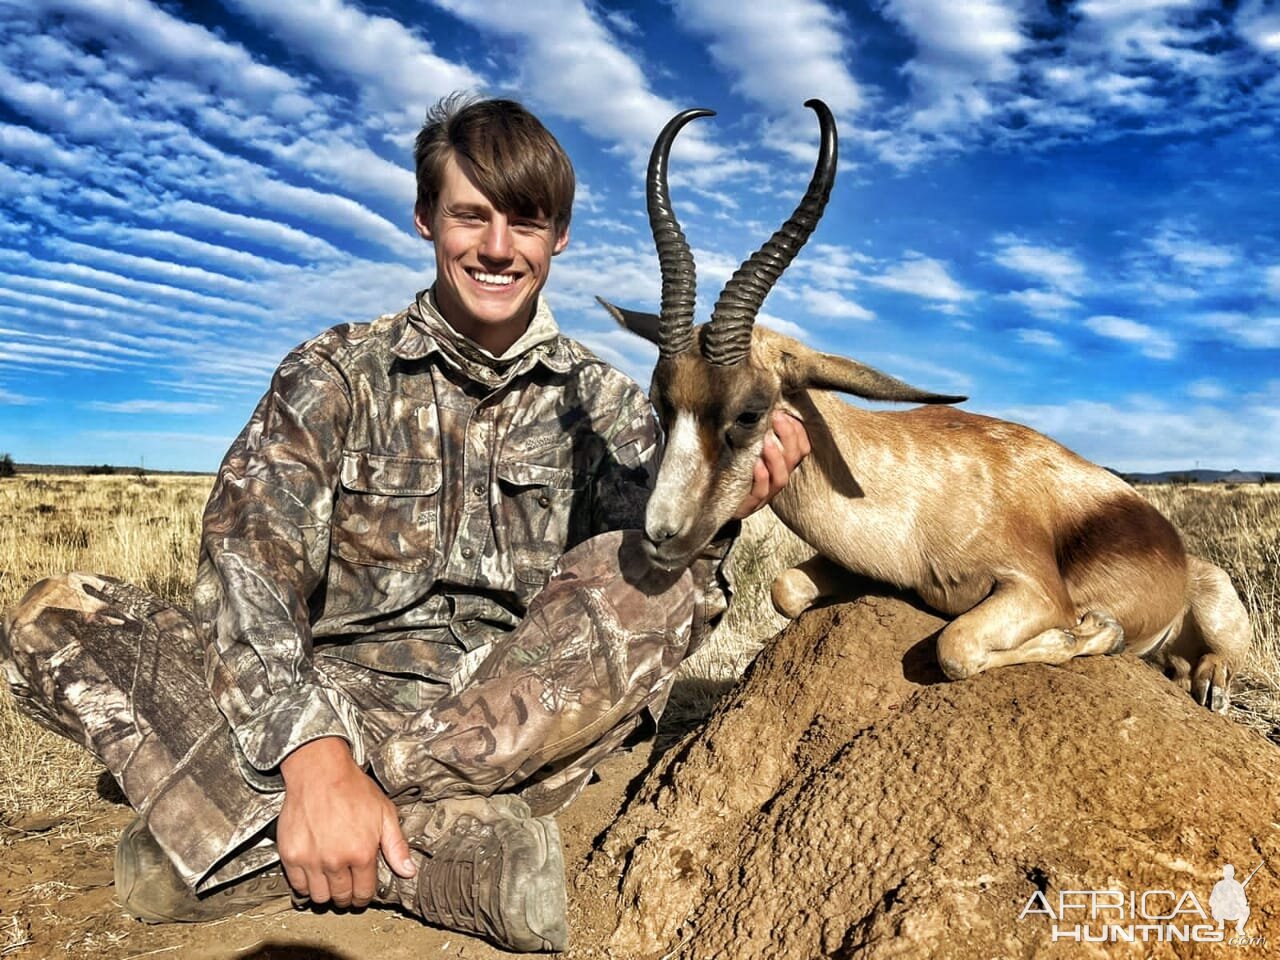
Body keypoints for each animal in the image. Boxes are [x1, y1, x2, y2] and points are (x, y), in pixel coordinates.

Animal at [599, 99, 1249, 716]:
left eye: (750, 412)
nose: (660, 536)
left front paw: (1091, 633)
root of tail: (1177, 549)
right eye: (662, 404)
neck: (919, 498)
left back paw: (1205, 685)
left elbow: (955, 645)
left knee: (1214, 660)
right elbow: (786, 588)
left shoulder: (1036, 591)